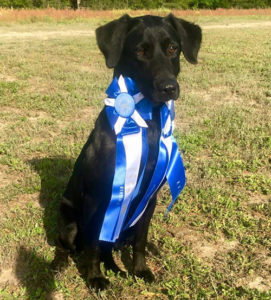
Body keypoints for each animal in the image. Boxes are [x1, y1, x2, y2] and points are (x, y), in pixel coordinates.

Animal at [56, 14, 202, 290]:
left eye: (172, 48)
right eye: (140, 51)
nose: (169, 87)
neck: (148, 124)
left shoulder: (149, 198)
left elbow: (140, 240)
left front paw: (140, 269)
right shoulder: (98, 198)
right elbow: (93, 243)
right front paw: (95, 277)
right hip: (69, 220)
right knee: (67, 245)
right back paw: (58, 264)